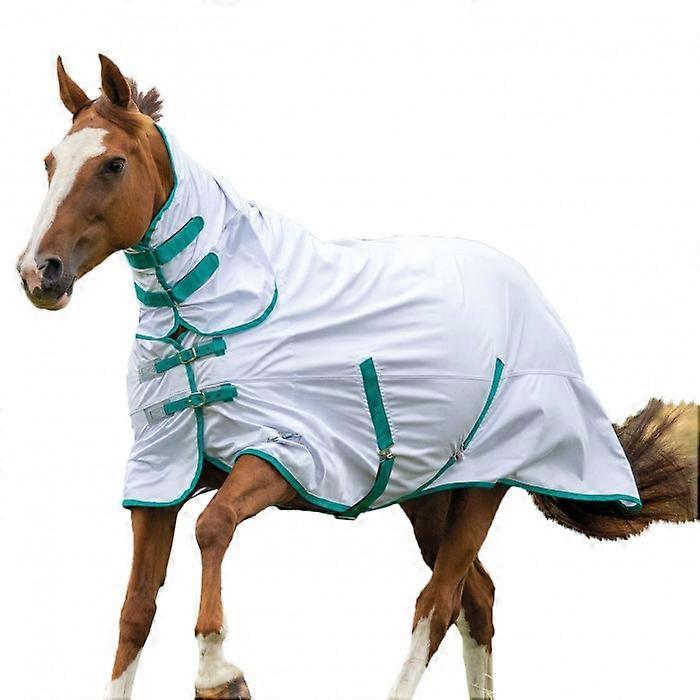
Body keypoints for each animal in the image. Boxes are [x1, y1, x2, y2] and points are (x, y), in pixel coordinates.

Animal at [17, 55, 697, 700]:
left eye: (112, 165)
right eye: (50, 162)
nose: (38, 272)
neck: (213, 310)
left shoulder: (288, 454)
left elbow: (213, 526)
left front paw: (218, 674)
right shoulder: (159, 474)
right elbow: (134, 612)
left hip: (487, 481)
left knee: (438, 603)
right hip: (430, 492)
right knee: (476, 598)